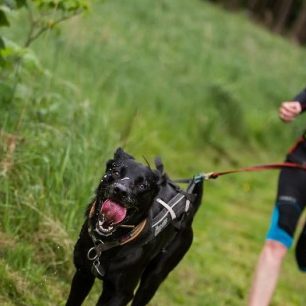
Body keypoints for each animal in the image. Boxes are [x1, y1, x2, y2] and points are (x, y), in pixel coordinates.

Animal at [65, 147, 203, 304]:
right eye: (115, 171)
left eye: (143, 185)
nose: (120, 190)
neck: (106, 243)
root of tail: (190, 207)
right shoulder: (83, 274)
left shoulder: (120, 293)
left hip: (153, 280)